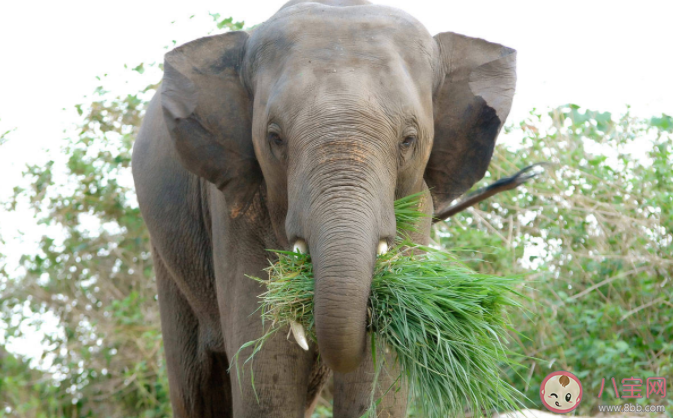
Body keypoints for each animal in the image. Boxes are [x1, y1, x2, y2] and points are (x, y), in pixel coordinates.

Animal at [133, 0, 516, 416]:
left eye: (409, 140)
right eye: (274, 138)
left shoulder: (417, 201)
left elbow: (379, 370)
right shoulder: (235, 206)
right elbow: (267, 373)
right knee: (195, 382)